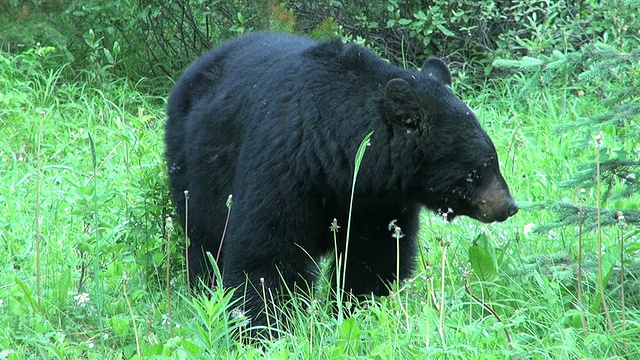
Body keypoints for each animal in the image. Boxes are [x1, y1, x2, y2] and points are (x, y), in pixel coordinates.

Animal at [164, 33, 516, 330]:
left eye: (492, 159)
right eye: (480, 167)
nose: (509, 206)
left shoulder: (375, 199)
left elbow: (373, 256)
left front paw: (360, 310)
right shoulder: (284, 162)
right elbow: (267, 248)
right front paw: (263, 325)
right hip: (193, 168)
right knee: (205, 238)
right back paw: (205, 291)